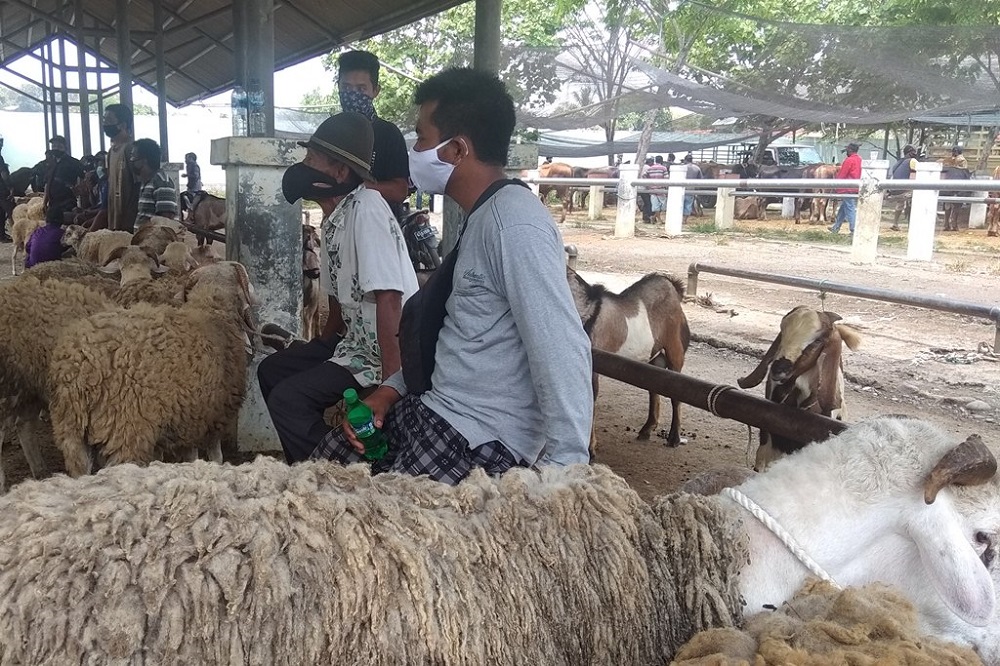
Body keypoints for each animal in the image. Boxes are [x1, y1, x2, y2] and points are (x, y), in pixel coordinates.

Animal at [48, 260, 256, 472]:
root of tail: (83, 366)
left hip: (71, 431)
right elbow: (216, 457)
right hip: (126, 429)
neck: (212, 309)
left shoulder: (189, 420)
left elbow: (190, 457)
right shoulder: (213, 418)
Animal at [568, 268, 692, 454]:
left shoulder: (594, 366)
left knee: (676, 393)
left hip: (674, 349)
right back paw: (647, 429)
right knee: (654, 386)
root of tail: (673, 288)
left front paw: (590, 448)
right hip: (654, 356)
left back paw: (674, 438)